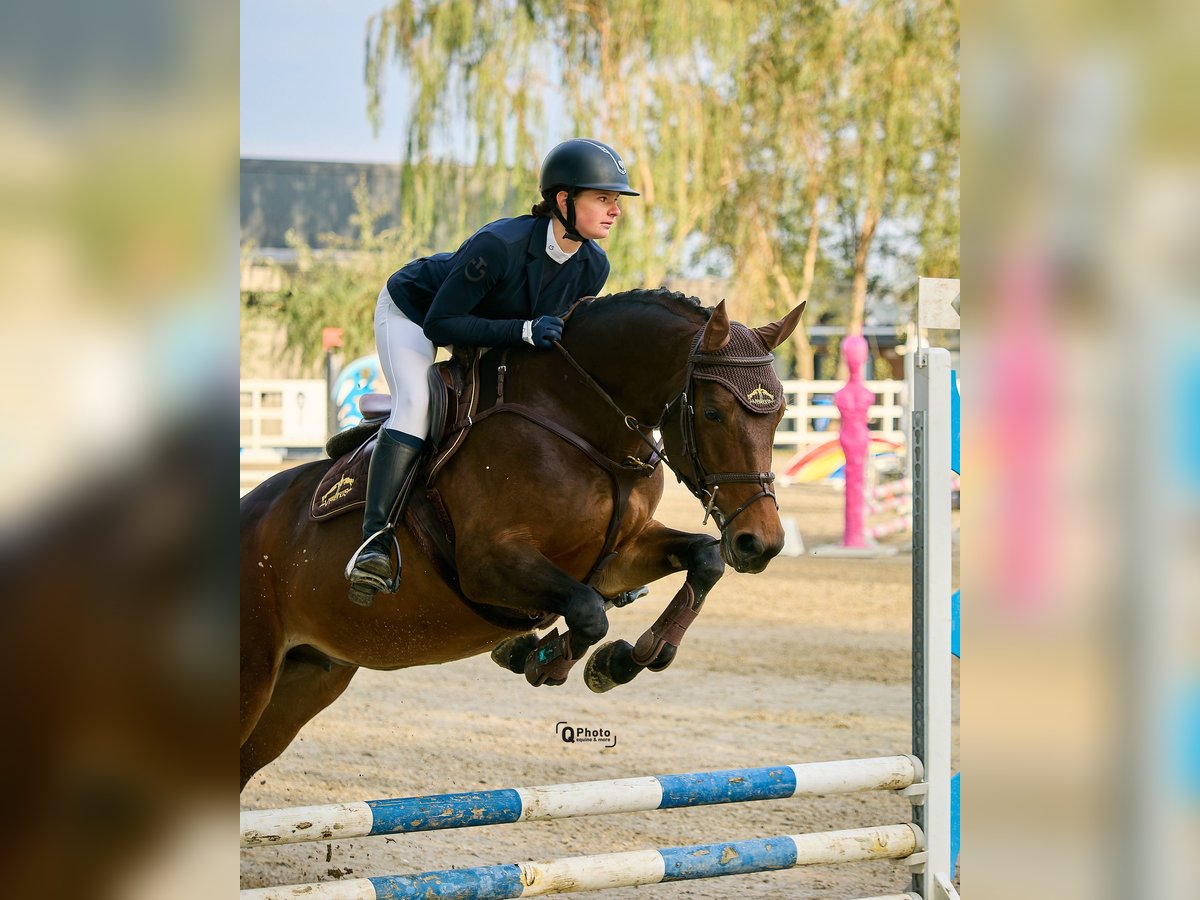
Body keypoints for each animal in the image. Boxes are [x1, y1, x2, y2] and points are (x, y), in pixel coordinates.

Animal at [241, 289, 806, 787]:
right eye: (712, 412)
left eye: (779, 413)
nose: (761, 543)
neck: (584, 425)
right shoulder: (488, 565)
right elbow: (587, 612)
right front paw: (539, 658)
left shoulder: (615, 559)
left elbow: (703, 560)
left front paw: (628, 657)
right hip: (256, 674)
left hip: (310, 677)